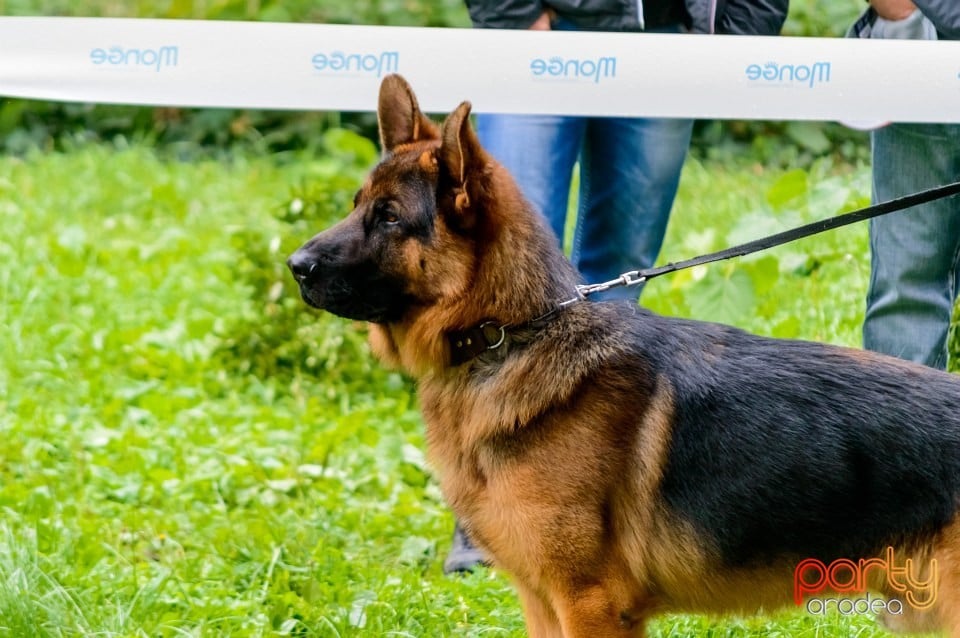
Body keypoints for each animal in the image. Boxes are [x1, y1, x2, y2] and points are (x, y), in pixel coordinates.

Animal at [288, 76, 960, 638]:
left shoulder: (590, 604)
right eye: (355, 205)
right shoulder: (543, 604)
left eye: (389, 218)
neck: (511, 333)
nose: (295, 266)